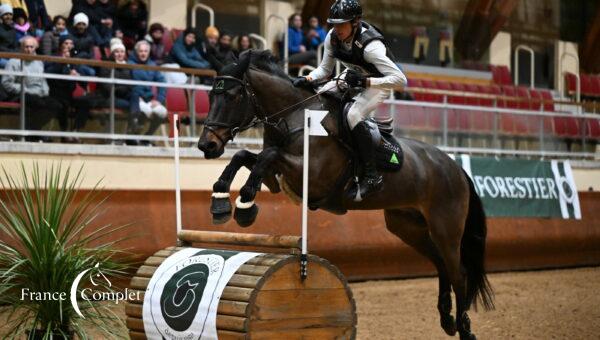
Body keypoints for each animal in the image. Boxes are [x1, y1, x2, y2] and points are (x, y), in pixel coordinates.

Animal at [197, 50, 492, 340]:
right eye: (210, 95)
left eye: (233, 96)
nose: (206, 145)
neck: (294, 117)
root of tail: (454, 166)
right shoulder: (275, 180)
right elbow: (244, 156)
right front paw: (221, 202)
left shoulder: (312, 176)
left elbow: (267, 155)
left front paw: (245, 206)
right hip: (407, 226)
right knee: (442, 264)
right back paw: (447, 319)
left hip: (446, 227)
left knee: (459, 272)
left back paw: (464, 328)